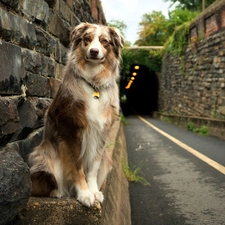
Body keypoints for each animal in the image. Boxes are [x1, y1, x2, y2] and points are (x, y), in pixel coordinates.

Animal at [28, 22, 124, 207]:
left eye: (105, 41)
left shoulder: (101, 134)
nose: (94, 51)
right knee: (45, 184)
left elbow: (92, 167)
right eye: (87, 39)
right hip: (45, 158)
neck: (94, 84)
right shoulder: (70, 130)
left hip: (107, 160)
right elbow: (76, 166)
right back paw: (57, 192)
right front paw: (85, 194)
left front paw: (93, 191)